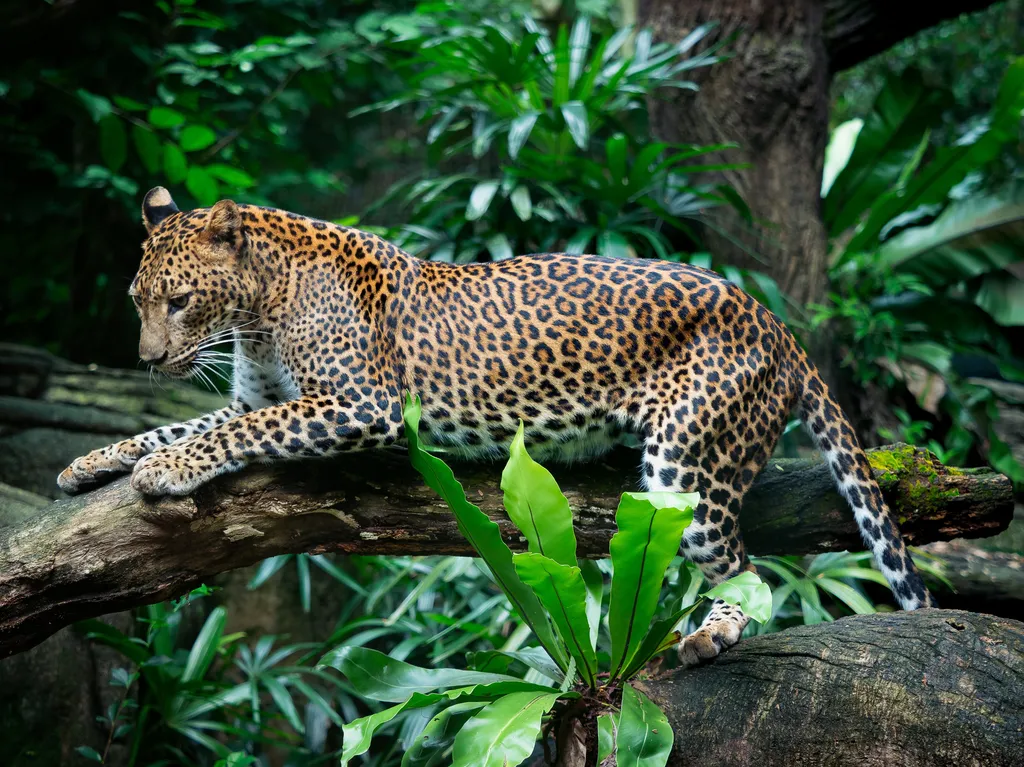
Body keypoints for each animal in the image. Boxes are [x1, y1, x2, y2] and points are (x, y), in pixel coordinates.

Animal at [59, 187, 937, 665]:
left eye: (179, 301)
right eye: (139, 300)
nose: (147, 360)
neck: (257, 311)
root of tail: (769, 316)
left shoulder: (359, 403)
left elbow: (225, 434)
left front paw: (166, 471)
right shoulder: (256, 398)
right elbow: (189, 423)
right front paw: (91, 461)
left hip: (687, 462)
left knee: (746, 568)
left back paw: (714, 633)